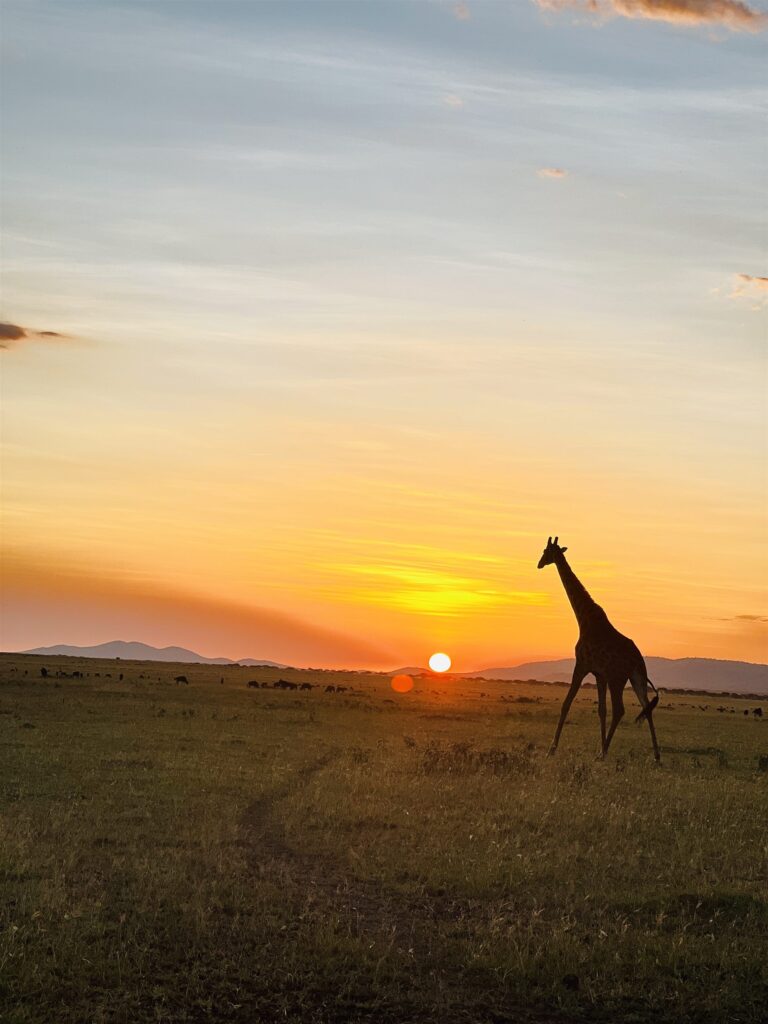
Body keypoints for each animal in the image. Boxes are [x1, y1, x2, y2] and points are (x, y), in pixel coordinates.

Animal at [537, 537, 660, 761]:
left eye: (546, 551)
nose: (539, 564)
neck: (583, 619)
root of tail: (638, 660)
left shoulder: (582, 665)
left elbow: (566, 704)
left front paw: (552, 749)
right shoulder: (599, 674)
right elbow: (602, 710)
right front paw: (601, 745)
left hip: (617, 678)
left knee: (620, 710)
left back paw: (603, 754)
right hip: (636, 678)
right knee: (646, 708)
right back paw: (656, 756)